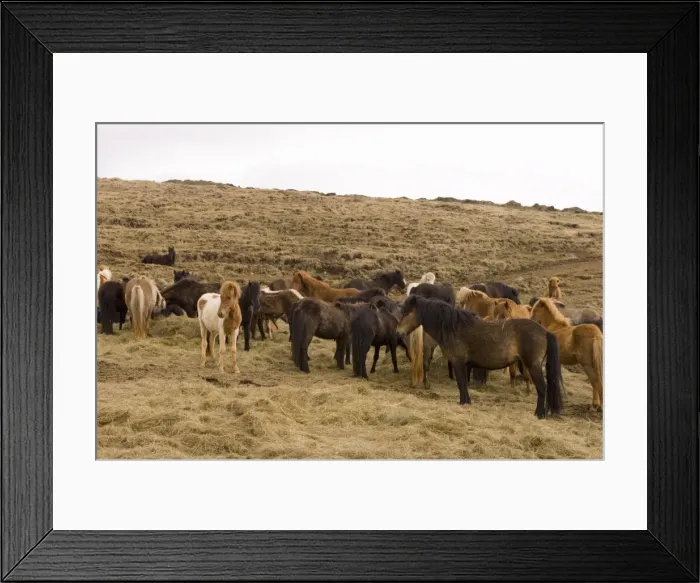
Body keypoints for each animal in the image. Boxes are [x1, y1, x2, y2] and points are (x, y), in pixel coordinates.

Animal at [397, 295, 563, 418]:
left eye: (407, 313)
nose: (398, 333)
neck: (453, 328)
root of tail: (544, 331)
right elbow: (464, 383)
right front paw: (467, 402)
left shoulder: (458, 362)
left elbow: (461, 383)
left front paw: (463, 403)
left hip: (533, 366)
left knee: (542, 388)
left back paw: (539, 413)